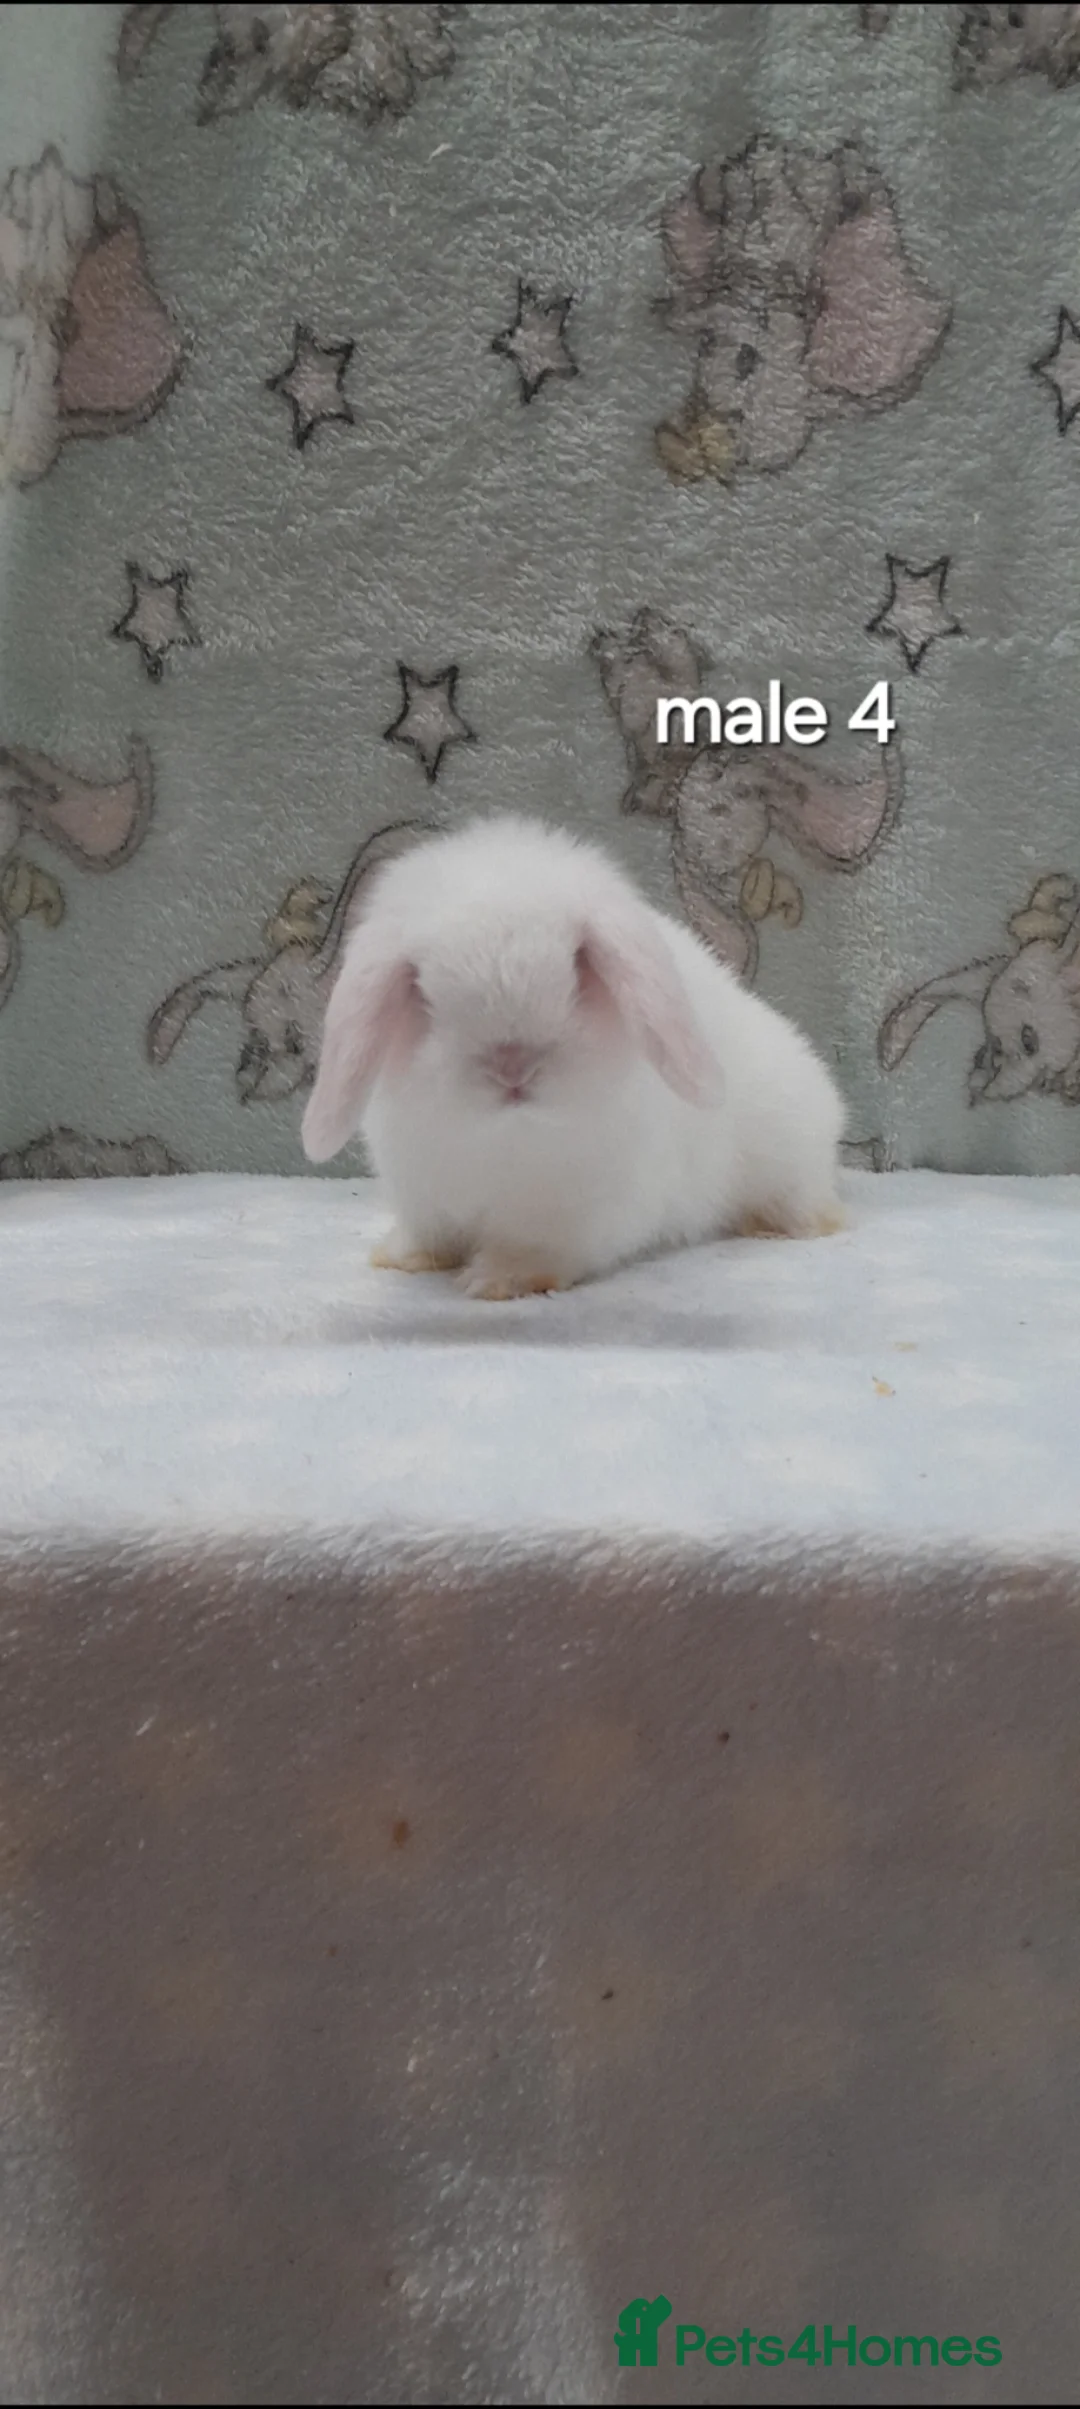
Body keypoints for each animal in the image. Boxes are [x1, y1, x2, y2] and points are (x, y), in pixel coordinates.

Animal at [301, 814, 846, 1299]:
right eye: (419, 986)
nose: (513, 1066)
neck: (506, 1139)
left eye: (577, 965)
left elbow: (545, 1250)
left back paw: (787, 1226)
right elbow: (428, 1236)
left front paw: (501, 1279)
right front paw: (400, 1258)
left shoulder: (587, 1212)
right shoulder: (422, 1195)